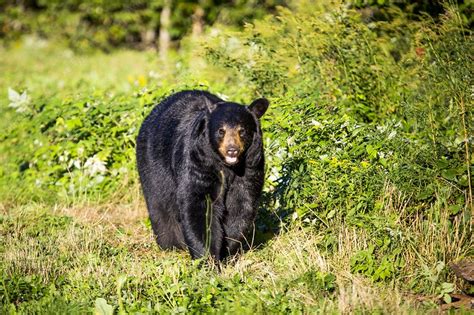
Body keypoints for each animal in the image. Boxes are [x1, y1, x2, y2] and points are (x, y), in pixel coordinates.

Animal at [137, 89, 268, 262]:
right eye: (221, 131)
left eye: (242, 131)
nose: (232, 150)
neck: (228, 168)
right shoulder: (199, 163)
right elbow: (199, 206)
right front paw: (207, 259)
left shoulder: (250, 168)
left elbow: (241, 206)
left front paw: (227, 250)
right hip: (153, 167)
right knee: (160, 208)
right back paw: (172, 245)